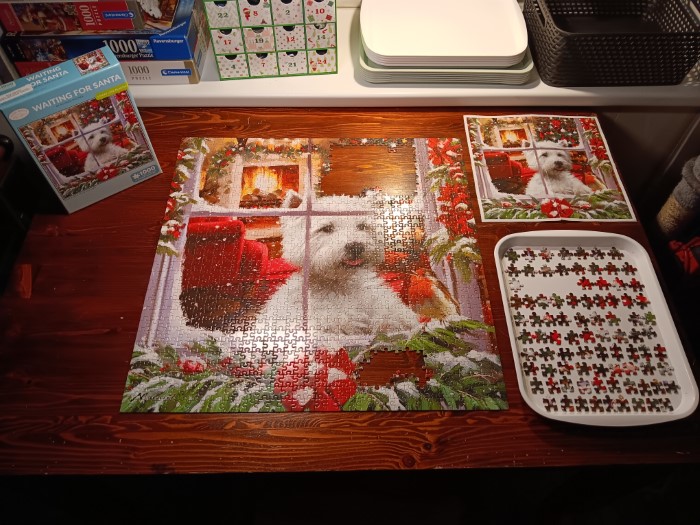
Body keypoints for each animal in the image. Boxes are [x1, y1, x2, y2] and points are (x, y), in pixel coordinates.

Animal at [254, 190, 420, 340]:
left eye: (362, 226)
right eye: (327, 228)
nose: (356, 247)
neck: (339, 284)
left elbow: (392, 311)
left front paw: (397, 321)